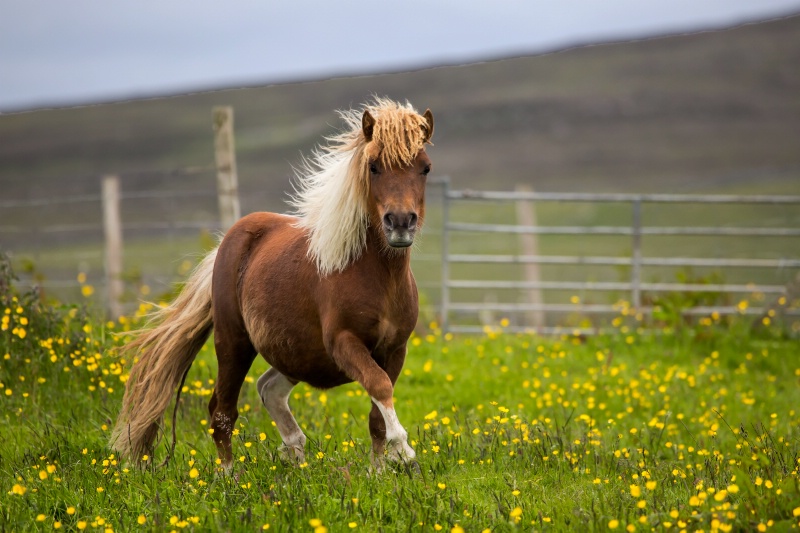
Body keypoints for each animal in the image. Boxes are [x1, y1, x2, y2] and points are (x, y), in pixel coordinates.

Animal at [109, 96, 434, 470]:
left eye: (425, 167)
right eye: (374, 166)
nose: (400, 223)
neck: (374, 276)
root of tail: (228, 242)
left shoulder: (395, 348)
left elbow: (377, 415)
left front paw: (379, 472)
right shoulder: (343, 342)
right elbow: (379, 387)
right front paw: (404, 451)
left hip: (296, 354)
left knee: (268, 389)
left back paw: (297, 455)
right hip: (234, 342)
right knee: (222, 412)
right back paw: (230, 477)